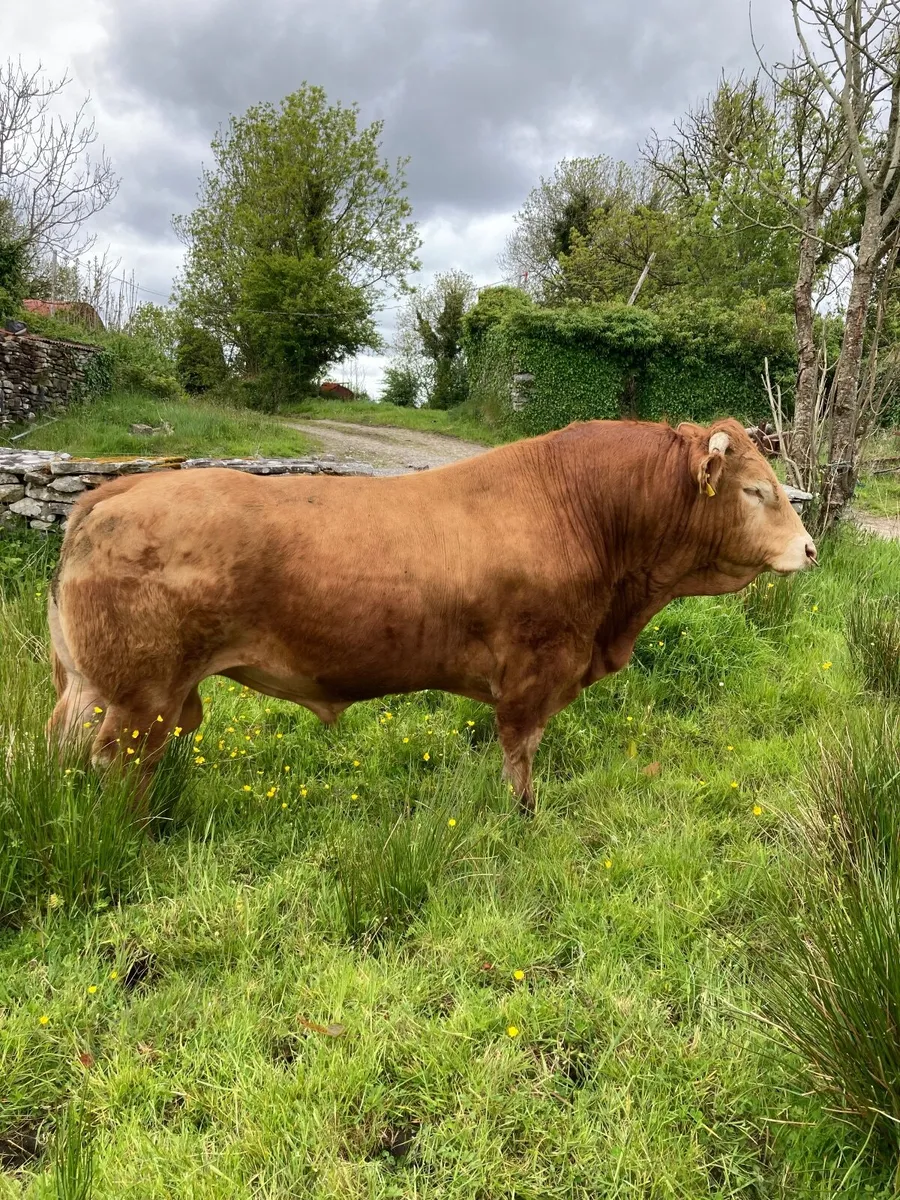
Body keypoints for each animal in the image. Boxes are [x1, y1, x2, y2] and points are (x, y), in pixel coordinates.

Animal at [48, 417, 816, 814]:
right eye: (755, 490)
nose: (809, 548)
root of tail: (121, 489)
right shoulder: (533, 670)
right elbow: (520, 755)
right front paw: (524, 818)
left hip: (97, 688)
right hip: (141, 694)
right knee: (118, 763)